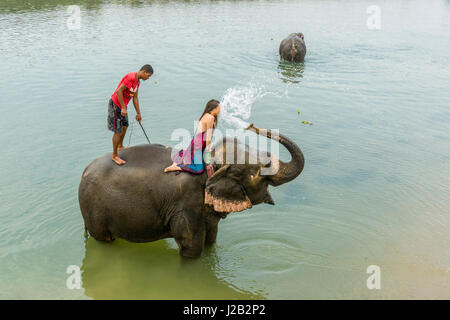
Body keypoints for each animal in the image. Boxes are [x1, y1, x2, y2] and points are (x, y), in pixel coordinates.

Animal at [78, 123, 306, 258]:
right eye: (259, 169)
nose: (252, 126)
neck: (210, 165)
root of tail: (84, 171)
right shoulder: (186, 207)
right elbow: (191, 248)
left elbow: (211, 239)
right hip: (94, 209)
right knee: (104, 239)